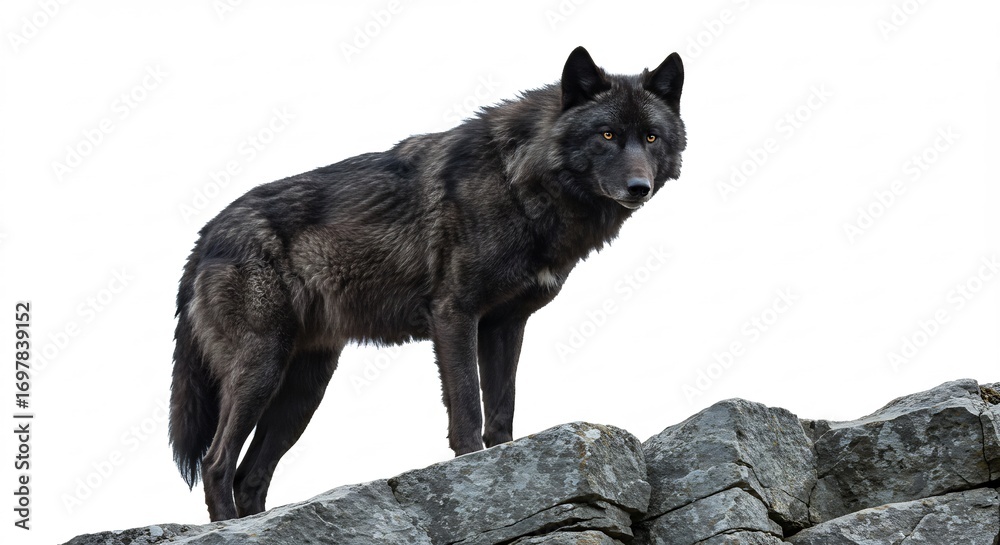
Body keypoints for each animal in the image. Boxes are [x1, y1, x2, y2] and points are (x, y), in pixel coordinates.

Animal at [169, 46, 686, 521]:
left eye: (651, 137)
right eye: (607, 135)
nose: (638, 187)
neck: (517, 180)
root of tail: (206, 234)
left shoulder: (504, 325)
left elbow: (501, 415)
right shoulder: (454, 315)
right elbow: (468, 411)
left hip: (302, 392)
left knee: (250, 476)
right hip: (262, 370)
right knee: (217, 463)